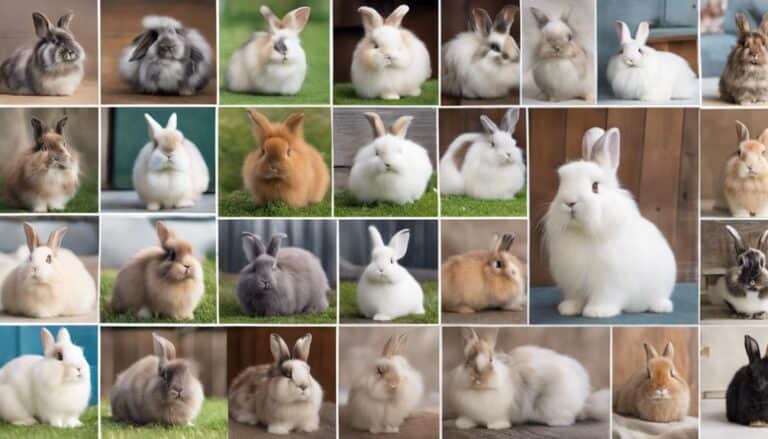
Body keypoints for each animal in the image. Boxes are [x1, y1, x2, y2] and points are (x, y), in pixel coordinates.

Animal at [447, 328, 608, 429]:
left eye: (491, 360)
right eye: (466, 361)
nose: (478, 376)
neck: (480, 391)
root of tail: (583, 400)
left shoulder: (499, 412)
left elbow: (498, 420)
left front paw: (496, 427)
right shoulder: (469, 413)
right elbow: (468, 419)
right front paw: (462, 425)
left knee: (568, 419)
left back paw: (555, 423)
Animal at [543, 127, 677, 318]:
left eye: (595, 187)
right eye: (561, 184)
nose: (569, 202)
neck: (583, 233)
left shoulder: (609, 283)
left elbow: (604, 298)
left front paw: (596, 312)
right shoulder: (573, 283)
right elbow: (575, 298)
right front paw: (568, 309)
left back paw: (661, 307)